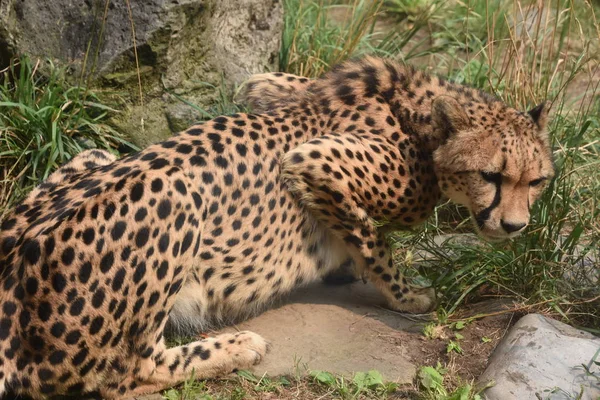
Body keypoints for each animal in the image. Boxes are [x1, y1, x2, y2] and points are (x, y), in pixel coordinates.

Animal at [0, 55, 552, 396]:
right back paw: (237, 347)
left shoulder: (268, 85)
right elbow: (373, 240)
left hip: (95, 154)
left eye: (538, 181)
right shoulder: (315, 162)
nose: (515, 226)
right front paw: (407, 295)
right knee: (124, 372)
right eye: (491, 175)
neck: (419, 115)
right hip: (175, 192)